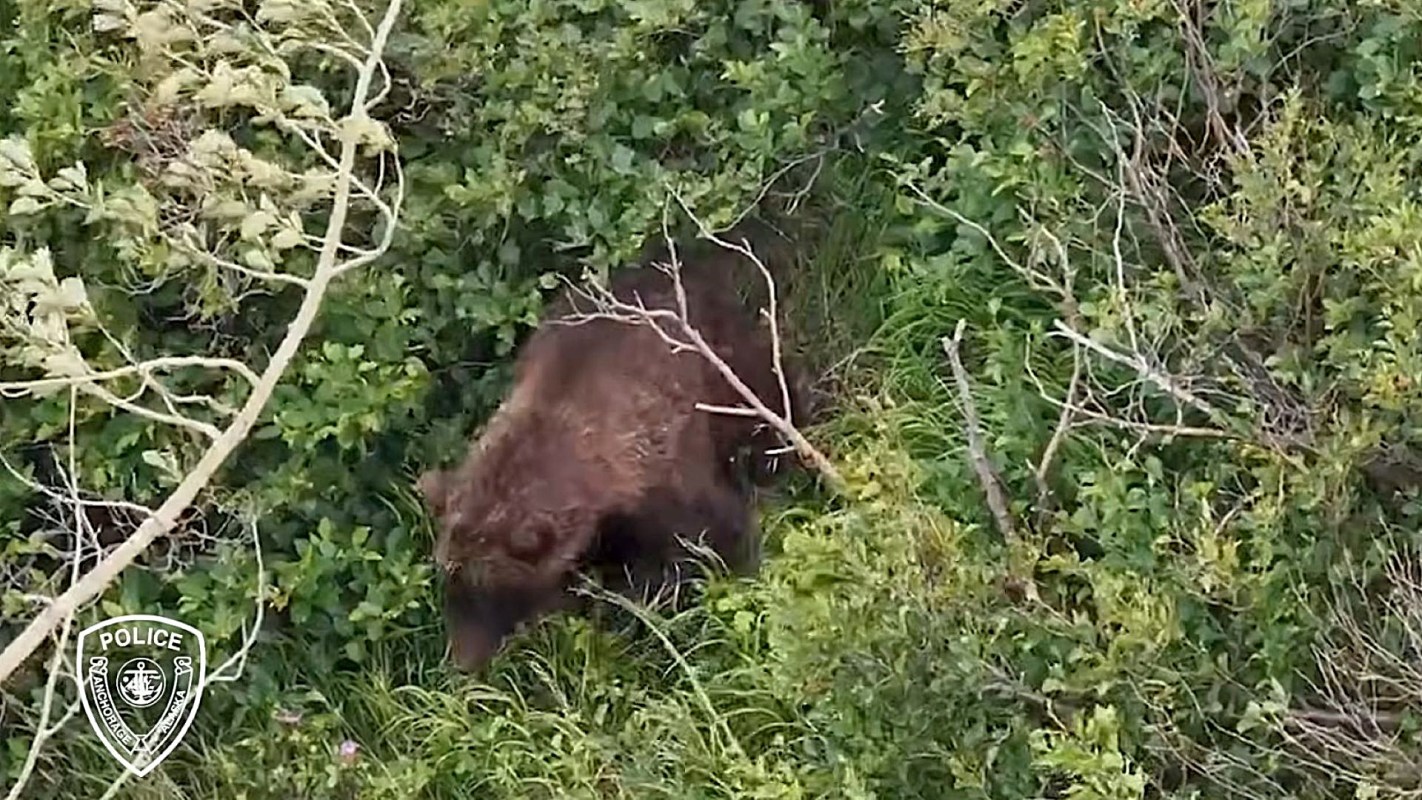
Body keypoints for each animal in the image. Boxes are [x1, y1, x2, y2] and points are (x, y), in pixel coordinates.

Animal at [417, 235, 809, 671]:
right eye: (447, 580)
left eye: (490, 590)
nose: (462, 661)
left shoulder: (666, 478)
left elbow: (718, 535)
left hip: (726, 369)